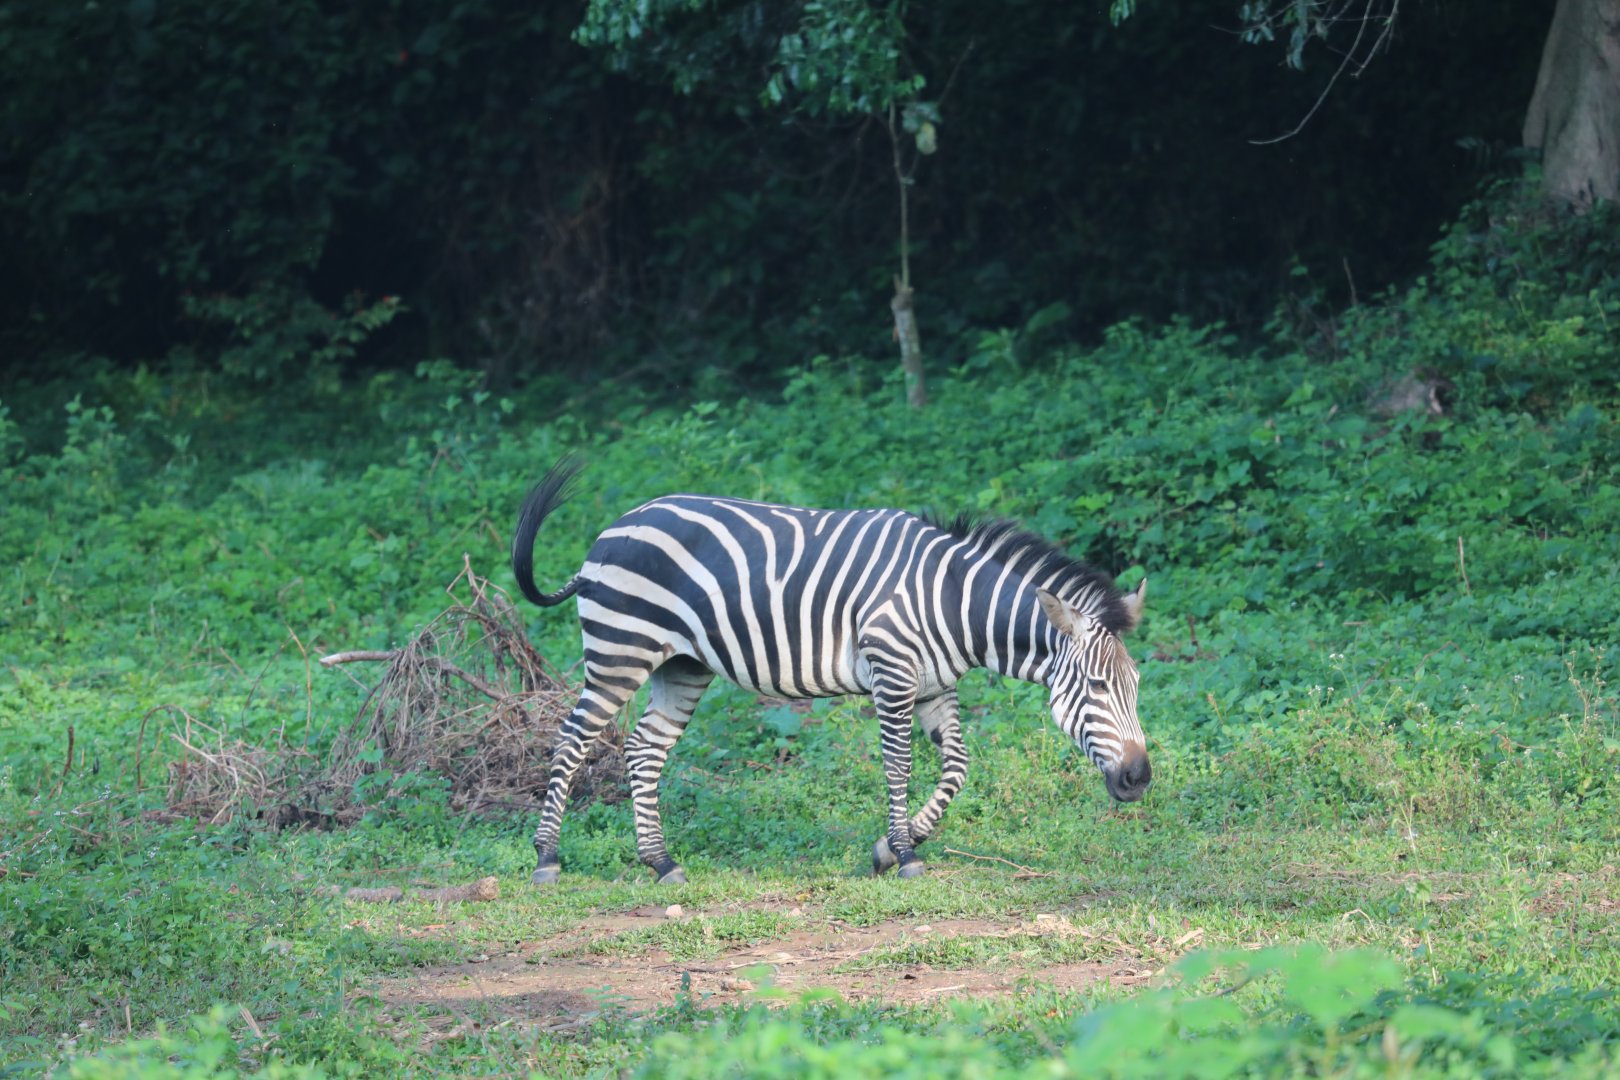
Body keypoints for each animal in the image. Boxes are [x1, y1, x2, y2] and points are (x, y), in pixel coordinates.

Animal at [512, 456, 1150, 886]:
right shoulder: (892, 674)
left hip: (683, 665)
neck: (951, 600)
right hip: (620, 651)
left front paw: (890, 848)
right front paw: (906, 854)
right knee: (571, 741)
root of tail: (615, 526)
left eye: (1136, 687)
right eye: (1097, 686)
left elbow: (957, 769)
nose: (1140, 779)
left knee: (645, 749)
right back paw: (547, 859)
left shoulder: (935, 687)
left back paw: (661, 862)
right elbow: (898, 767)